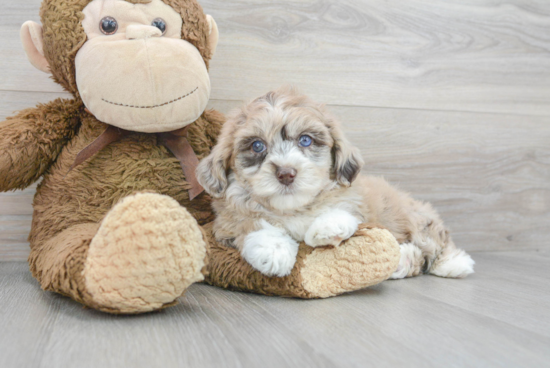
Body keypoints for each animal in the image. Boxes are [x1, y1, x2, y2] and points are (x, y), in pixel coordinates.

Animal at [197, 87, 474, 278]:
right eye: (257, 145)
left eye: (306, 140)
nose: (286, 173)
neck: (293, 208)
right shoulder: (227, 222)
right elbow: (250, 222)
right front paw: (273, 249)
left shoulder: (355, 202)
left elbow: (340, 208)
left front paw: (328, 226)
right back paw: (403, 260)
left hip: (416, 218)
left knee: (435, 241)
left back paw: (453, 263)